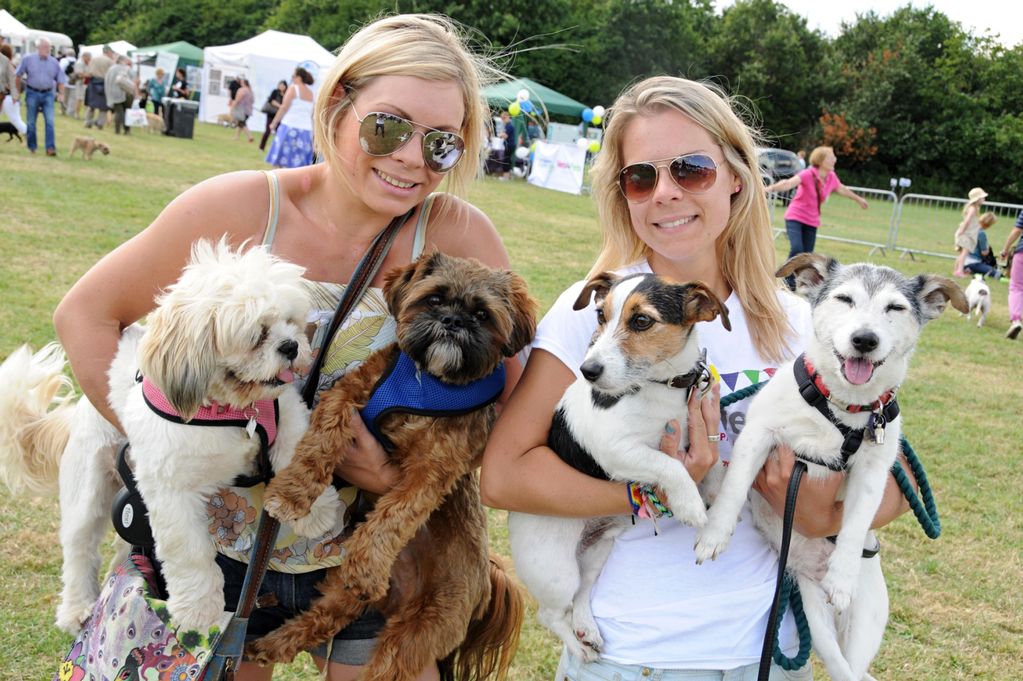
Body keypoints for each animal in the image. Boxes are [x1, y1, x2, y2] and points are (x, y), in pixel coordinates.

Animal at [0, 240, 343, 629]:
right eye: (257, 335)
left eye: (293, 323)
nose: (290, 346)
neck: (232, 411)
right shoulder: (170, 490)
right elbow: (188, 551)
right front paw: (198, 607)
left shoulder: (285, 413)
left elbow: (298, 455)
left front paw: (313, 510)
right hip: (88, 487)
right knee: (80, 546)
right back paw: (77, 608)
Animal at [505, 269, 728, 658]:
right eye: (599, 315)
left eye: (641, 321)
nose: (588, 370)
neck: (663, 387)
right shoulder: (616, 449)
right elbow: (671, 466)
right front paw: (691, 505)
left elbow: (712, 463)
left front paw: (714, 496)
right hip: (556, 570)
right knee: (551, 614)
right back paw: (578, 647)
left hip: (597, 551)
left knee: (582, 594)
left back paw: (587, 628)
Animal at [691, 253, 961, 678]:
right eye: (845, 299)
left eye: (895, 308)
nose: (864, 340)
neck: (839, 408)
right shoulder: (759, 435)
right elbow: (733, 490)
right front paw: (715, 534)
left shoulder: (874, 470)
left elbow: (855, 525)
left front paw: (843, 575)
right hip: (812, 615)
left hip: (863, 621)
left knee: (857, 669)